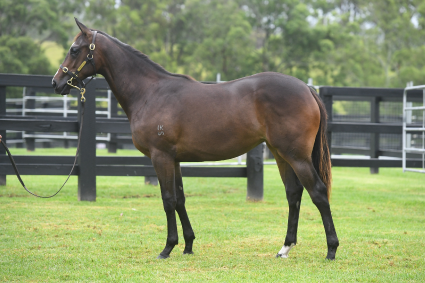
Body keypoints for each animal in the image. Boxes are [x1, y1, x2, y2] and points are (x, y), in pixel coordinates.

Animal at [52, 18, 338, 260]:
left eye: (74, 50)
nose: (56, 82)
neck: (150, 92)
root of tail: (306, 89)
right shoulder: (174, 159)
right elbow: (180, 199)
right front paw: (188, 245)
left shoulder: (161, 157)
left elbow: (168, 200)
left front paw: (167, 248)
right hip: (281, 155)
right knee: (294, 194)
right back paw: (285, 248)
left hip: (296, 156)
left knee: (318, 192)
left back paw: (331, 249)